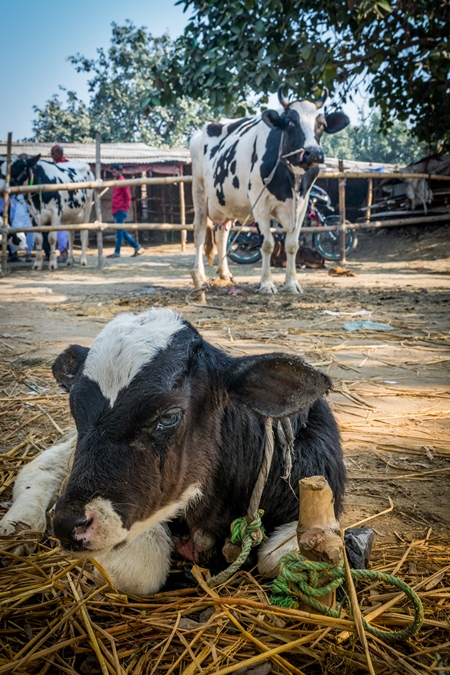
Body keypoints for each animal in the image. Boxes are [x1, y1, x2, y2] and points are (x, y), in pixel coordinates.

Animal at [0, 308, 346, 596]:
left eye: (168, 417)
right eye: (75, 409)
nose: (68, 523)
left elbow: (276, 559)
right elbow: (143, 572)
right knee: (41, 466)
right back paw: (19, 524)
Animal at [190, 86, 348, 294]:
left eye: (321, 124)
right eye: (290, 122)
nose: (313, 153)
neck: (291, 178)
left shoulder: (302, 204)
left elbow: (292, 245)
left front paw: (292, 283)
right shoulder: (260, 204)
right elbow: (267, 244)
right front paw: (266, 284)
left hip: (226, 204)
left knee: (222, 235)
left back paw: (225, 274)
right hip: (199, 192)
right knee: (199, 233)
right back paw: (199, 275)